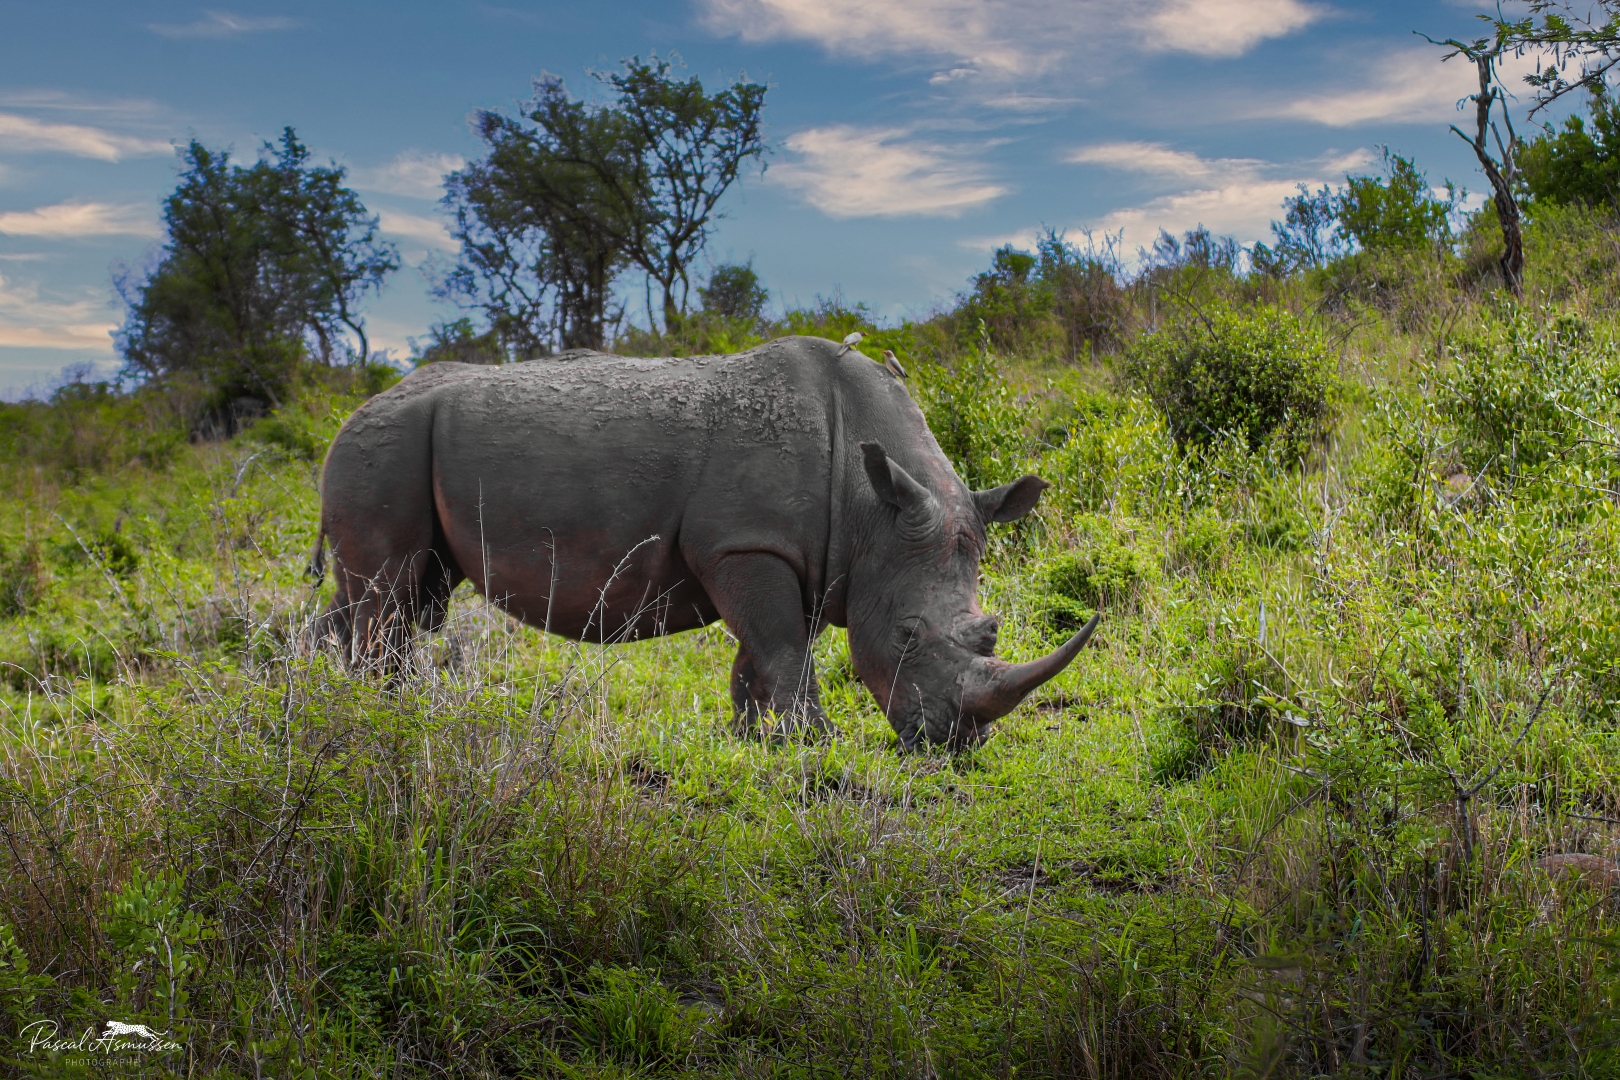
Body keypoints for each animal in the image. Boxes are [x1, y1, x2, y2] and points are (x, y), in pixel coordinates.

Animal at [312, 336, 1096, 747]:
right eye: (907, 635)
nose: (951, 743)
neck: (871, 506)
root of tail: (356, 409)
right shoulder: (749, 545)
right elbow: (784, 648)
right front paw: (817, 745)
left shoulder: (806, 555)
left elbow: (763, 653)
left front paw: (752, 742)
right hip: (381, 448)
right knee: (388, 591)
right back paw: (384, 715)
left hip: (399, 448)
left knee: (401, 594)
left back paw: (355, 701)